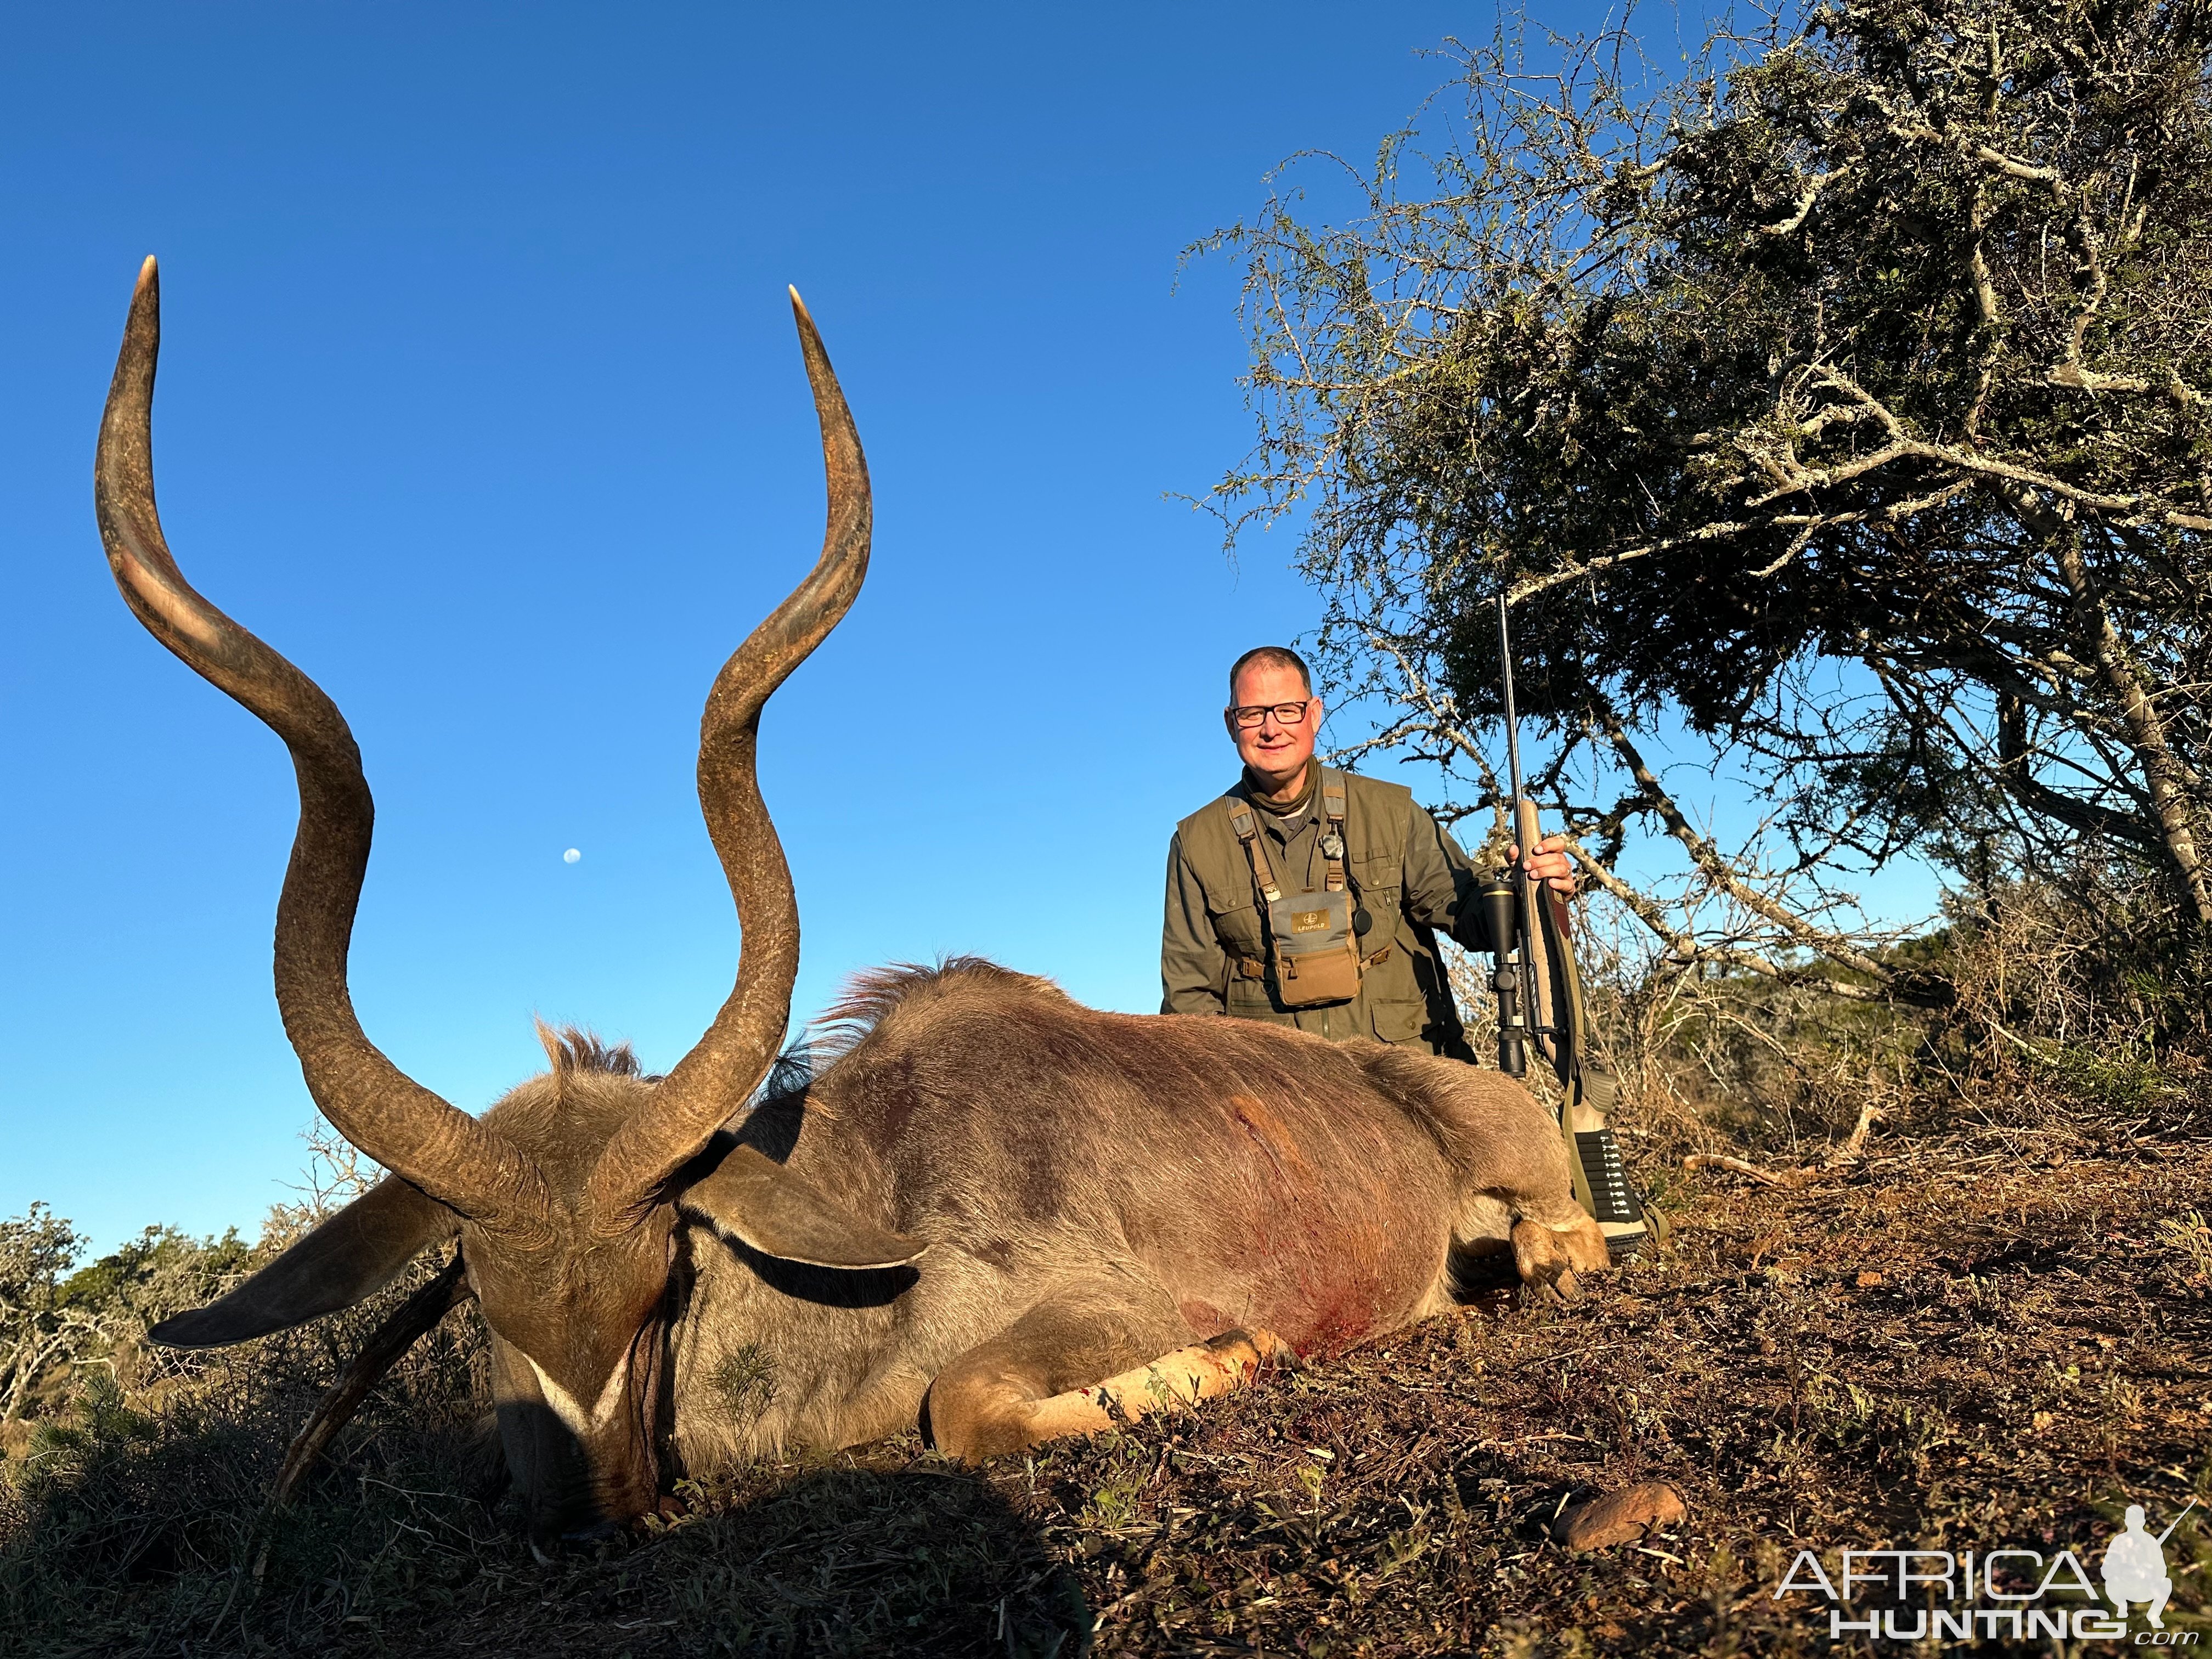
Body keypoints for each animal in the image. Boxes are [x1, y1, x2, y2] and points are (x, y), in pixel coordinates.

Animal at [99, 259, 1610, 1548]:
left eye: (665, 1276)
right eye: (476, 1297)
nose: (593, 1511)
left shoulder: (1088, 1305)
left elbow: (967, 1406)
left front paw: (1233, 1350)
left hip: (1532, 1165)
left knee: (1566, 1241)